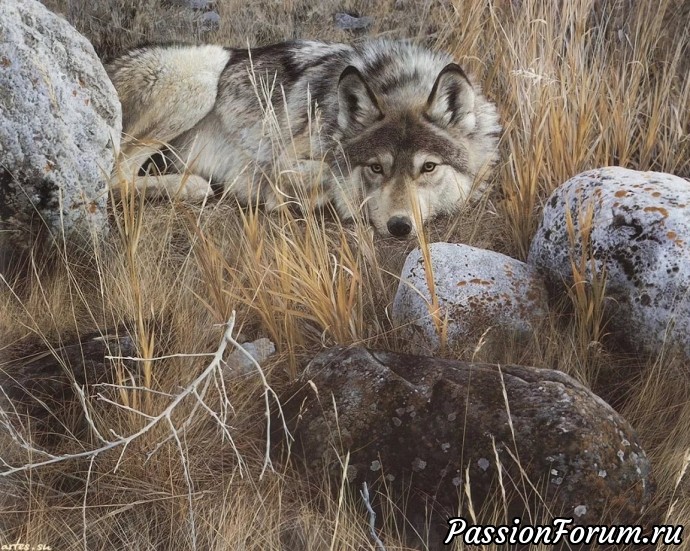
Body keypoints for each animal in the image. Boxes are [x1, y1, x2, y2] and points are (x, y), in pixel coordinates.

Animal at [106, 38, 500, 237]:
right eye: (375, 168)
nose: (400, 227)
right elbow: (330, 175)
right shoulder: (281, 164)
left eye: (428, 167)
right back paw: (192, 186)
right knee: (114, 175)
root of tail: (110, 62)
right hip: (204, 73)